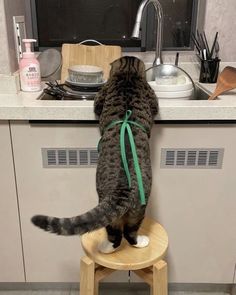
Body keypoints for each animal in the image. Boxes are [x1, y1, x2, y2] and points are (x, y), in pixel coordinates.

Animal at [30, 56, 158, 254]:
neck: (128, 74)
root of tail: (122, 188)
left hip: (133, 210)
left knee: (120, 233)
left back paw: (109, 247)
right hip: (139, 209)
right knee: (126, 232)